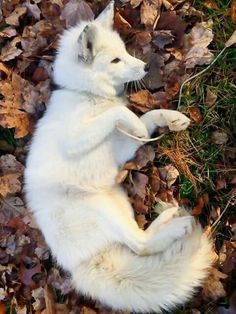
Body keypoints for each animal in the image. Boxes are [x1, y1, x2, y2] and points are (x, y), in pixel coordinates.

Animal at [24, 1, 212, 312]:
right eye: (115, 61)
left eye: (124, 51)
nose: (146, 66)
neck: (89, 95)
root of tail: (79, 265)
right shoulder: (74, 140)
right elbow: (121, 113)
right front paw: (137, 124)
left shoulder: (123, 148)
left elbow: (146, 116)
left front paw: (170, 119)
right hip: (100, 207)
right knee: (139, 245)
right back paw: (178, 226)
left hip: (120, 202)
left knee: (141, 239)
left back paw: (170, 217)